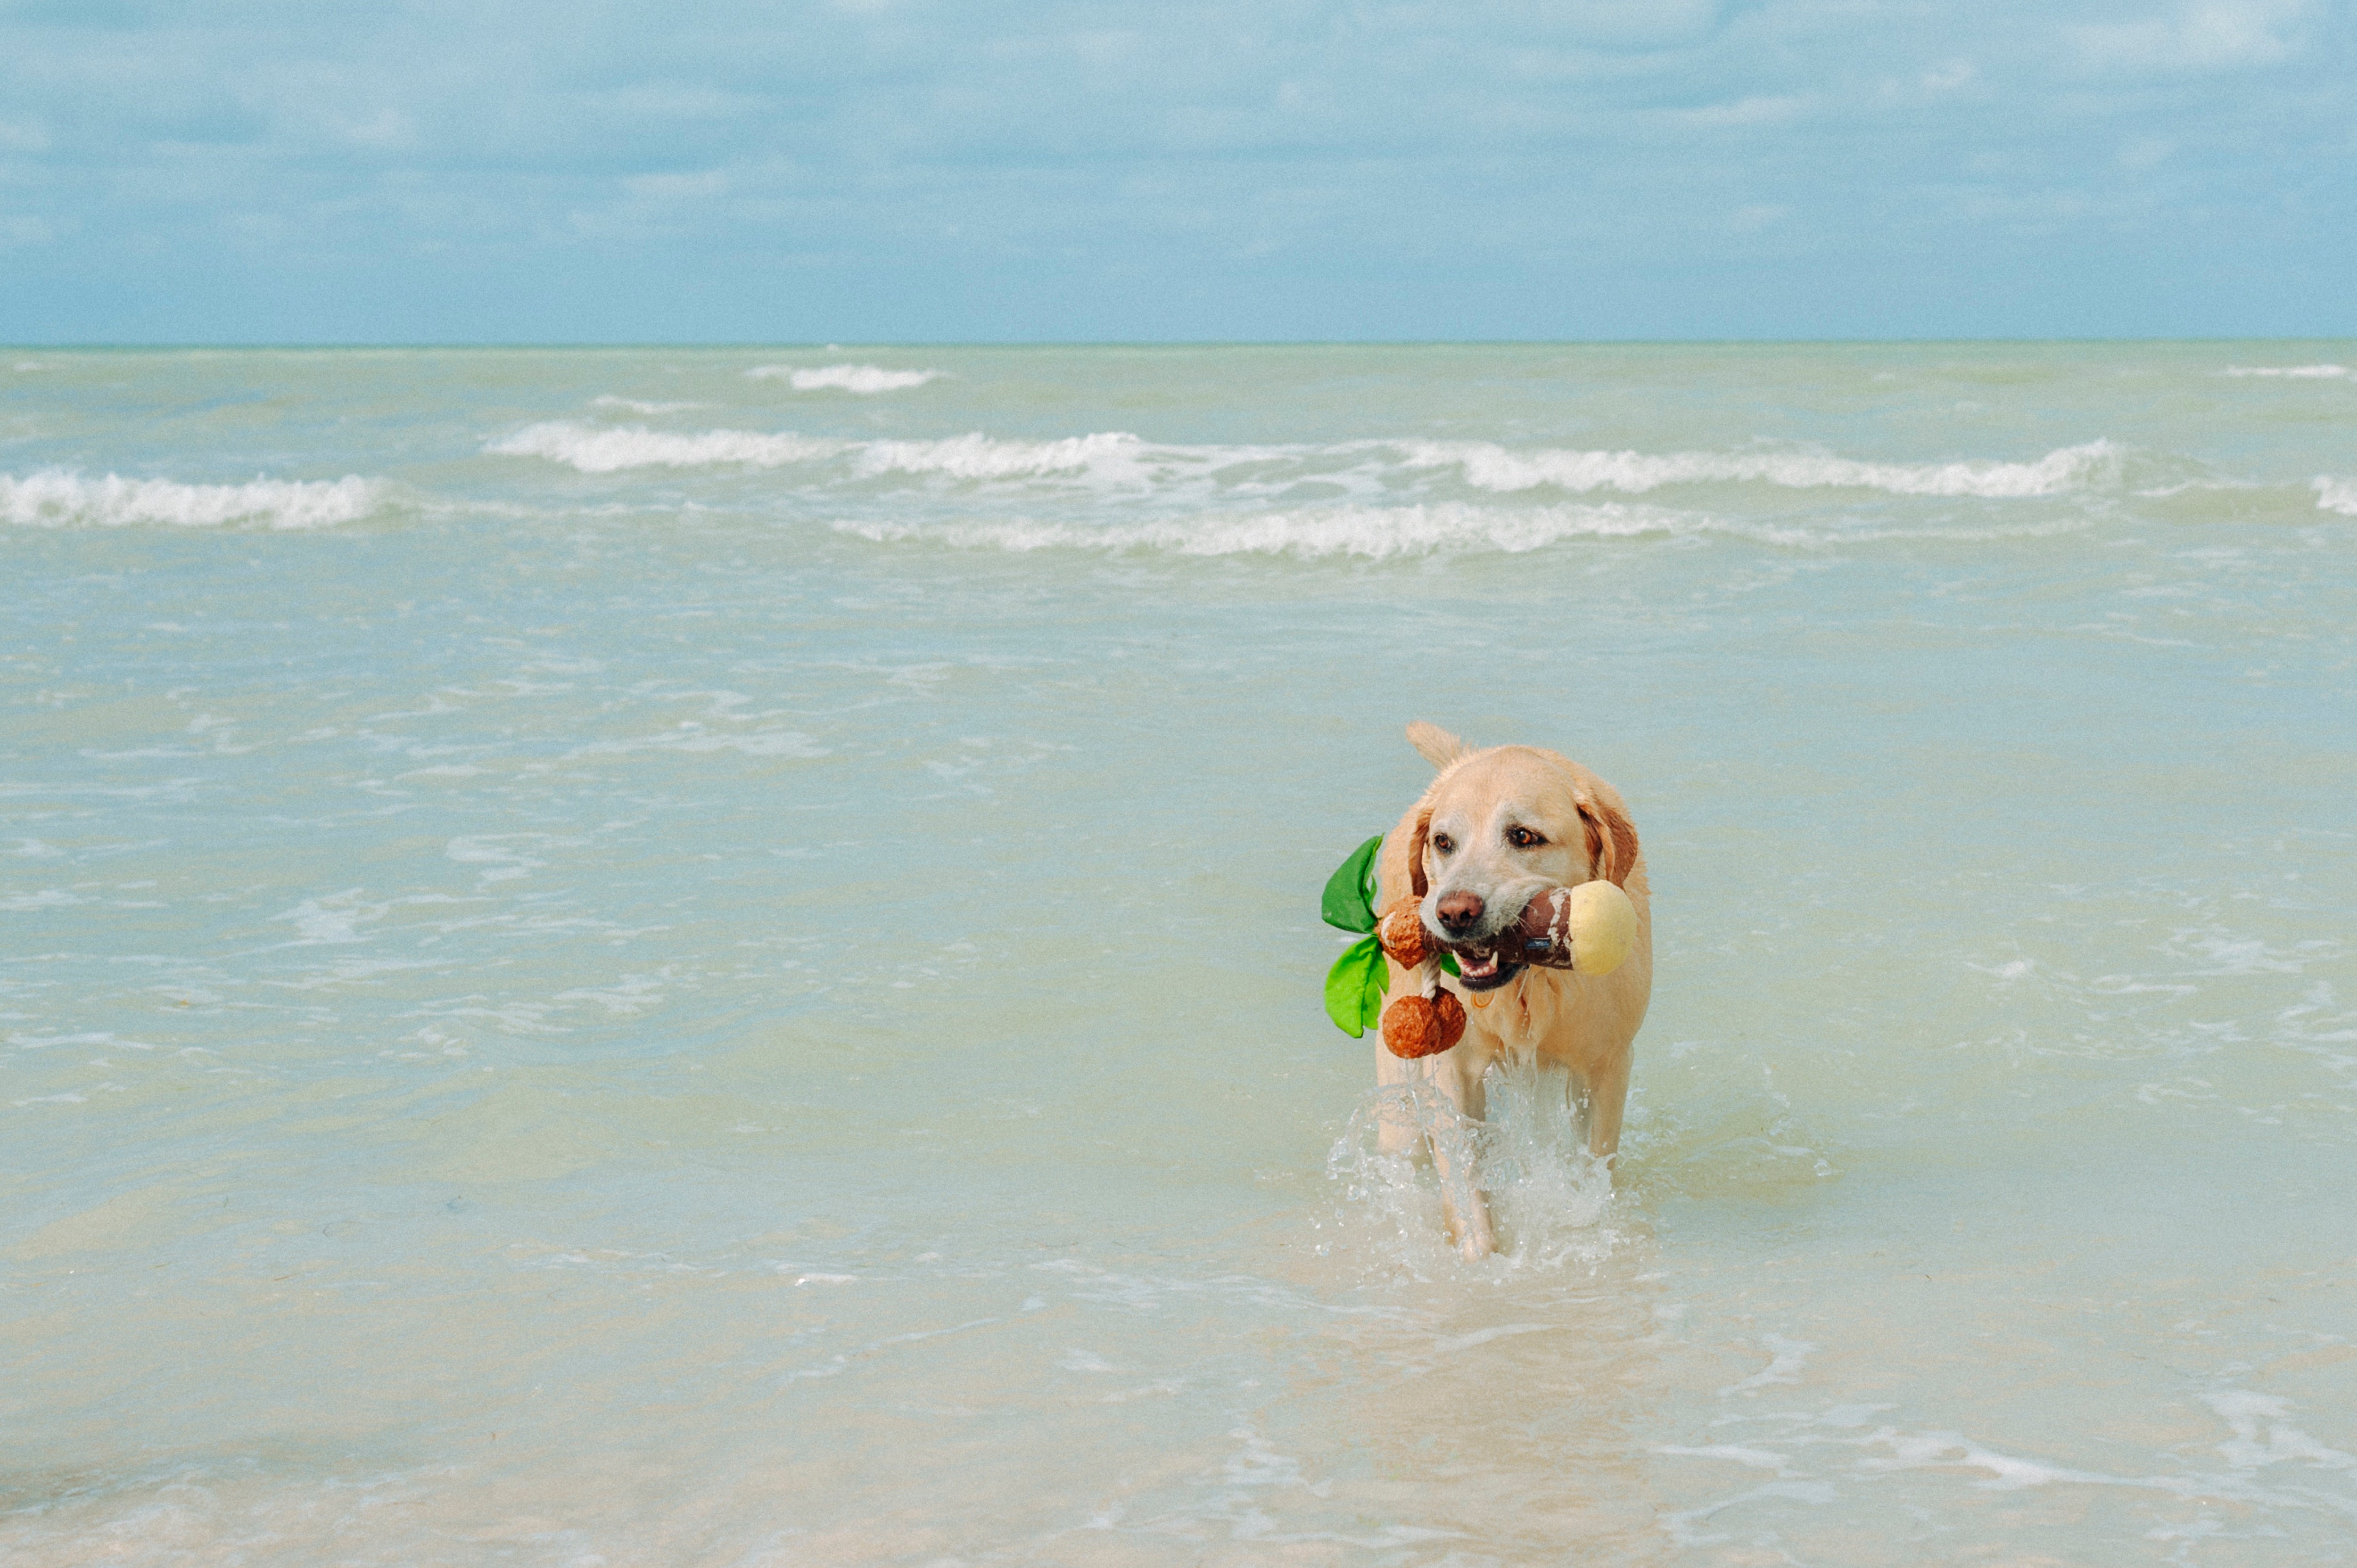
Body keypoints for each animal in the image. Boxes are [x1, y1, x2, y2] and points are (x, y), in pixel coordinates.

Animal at [1376, 721, 1650, 1264]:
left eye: (1523, 836)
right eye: (1443, 842)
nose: (1453, 913)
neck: (1531, 983)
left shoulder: (1607, 1066)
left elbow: (1592, 1166)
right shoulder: (1452, 1069)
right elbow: (1463, 1178)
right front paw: (1481, 1258)